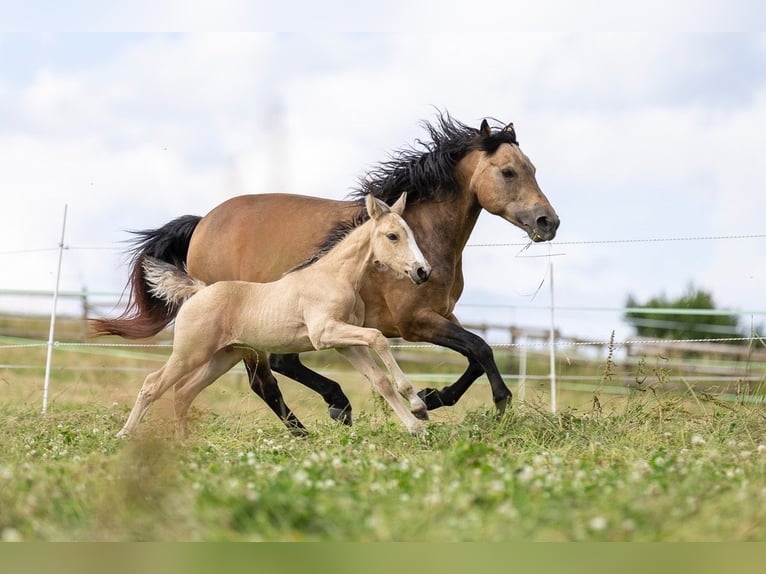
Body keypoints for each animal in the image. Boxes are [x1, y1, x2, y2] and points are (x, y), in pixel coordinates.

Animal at [118, 194, 436, 436]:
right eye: (392, 236)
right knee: (153, 385)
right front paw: (418, 409)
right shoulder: (326, 333)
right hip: (190, 353)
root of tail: (198, 290)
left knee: (183, 391)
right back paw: (125, 435)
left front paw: (417, 421)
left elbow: (379, 381)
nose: (422, 271)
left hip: (223, 356)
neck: (334, 277)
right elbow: (379, 338)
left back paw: (182, 441)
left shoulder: (345, 344)